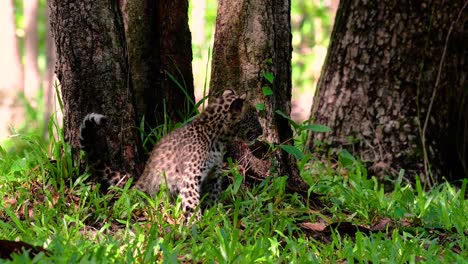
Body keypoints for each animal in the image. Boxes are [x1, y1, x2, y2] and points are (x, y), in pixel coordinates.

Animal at [80, 89, 264, 222]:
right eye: (253, 116)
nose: (262, 131)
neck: (217, 138)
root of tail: (140, 180)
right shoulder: (190, 177)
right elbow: (192, 203)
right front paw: (196, 225)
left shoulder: (214, 174)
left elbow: (213, 195)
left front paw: (214, 216)